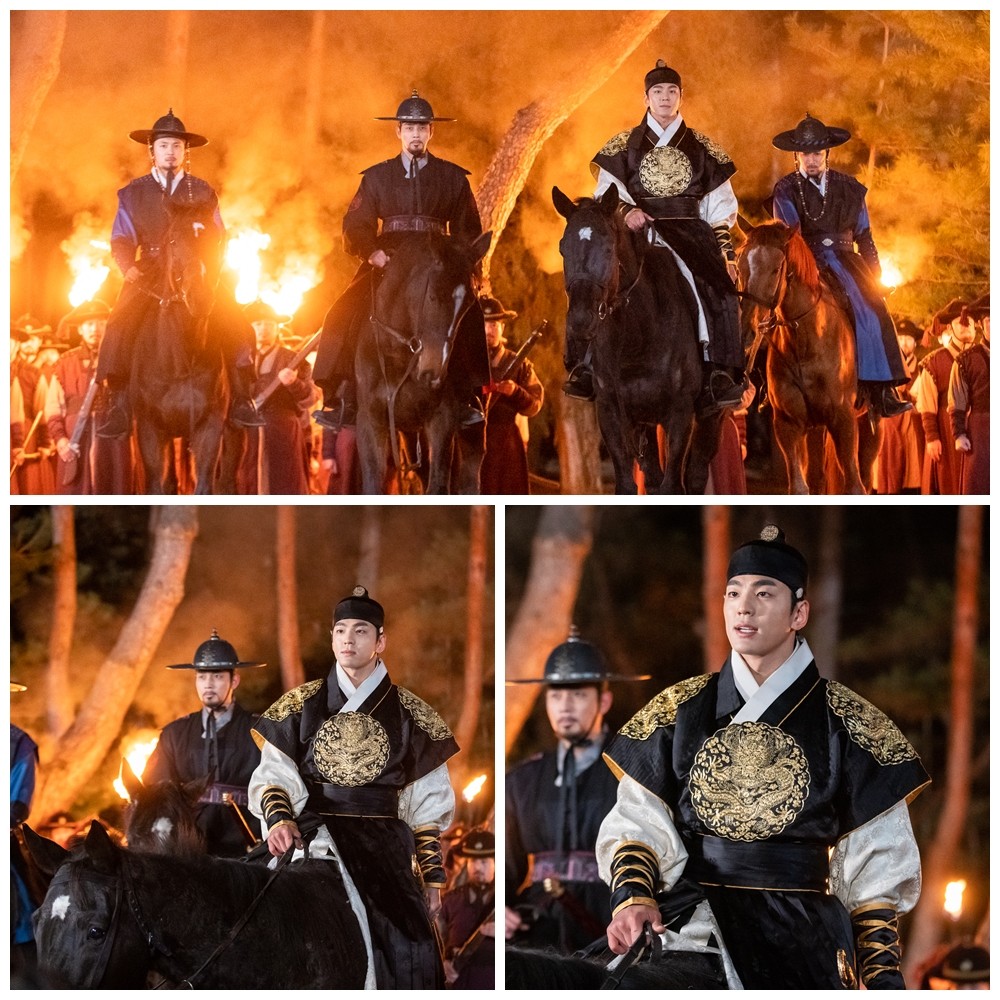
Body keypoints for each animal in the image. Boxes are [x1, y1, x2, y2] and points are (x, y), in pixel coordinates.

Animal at [127, 199, 230, 492]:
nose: (200, 296)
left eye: (216, 240)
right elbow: (157, 485)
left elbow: (204, 484)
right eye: (173, 240)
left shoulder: (209, 429)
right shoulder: (149, 431)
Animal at [354, 228, 490, 492]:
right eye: (433, 296)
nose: (433, 372)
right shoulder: (370, 421)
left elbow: (438, 485)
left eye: (469, 304)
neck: (397, 353)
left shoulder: (442, 419)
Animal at [552, 185, 724, 496]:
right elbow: (627, 484)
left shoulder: (680, 413)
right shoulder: (611, 411)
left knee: (695, 474)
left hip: (711, 416)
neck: (638, 341)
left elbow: (673, 486)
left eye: (608, 248)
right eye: (563, 248)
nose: (581, 321)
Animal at [740, 222, 880, 496]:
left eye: (776, 269)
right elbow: (799, 487)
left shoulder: (844, 420)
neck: (806, 342)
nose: (748, 330)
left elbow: (855, 486)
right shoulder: (788, 424)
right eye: (741, 265)